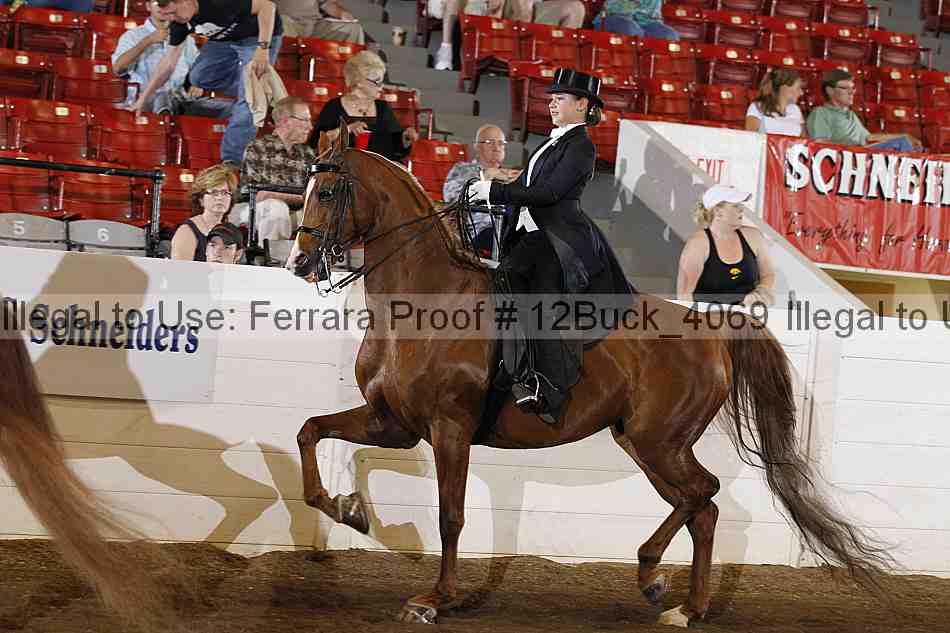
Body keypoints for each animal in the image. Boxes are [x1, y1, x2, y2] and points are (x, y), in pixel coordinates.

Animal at [287, 130, 893, 627]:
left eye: (327, 192)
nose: (299, 263)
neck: (427, 304)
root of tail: (711, 325)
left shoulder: (449, 429)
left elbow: (451, 516)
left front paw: (434, 599)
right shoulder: (394, 422)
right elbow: (311, 431)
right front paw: (348, 510)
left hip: (659, 441)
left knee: (704, 494)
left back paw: (654, 578)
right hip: (646, 444)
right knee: (703, 508)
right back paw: (685, 605)